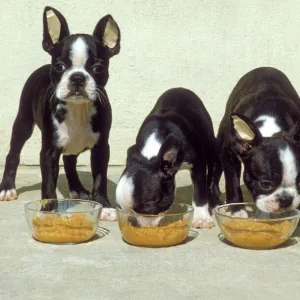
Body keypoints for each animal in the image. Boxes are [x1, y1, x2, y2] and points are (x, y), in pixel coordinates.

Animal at [115, 88, 220, 229]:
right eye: (120, 208)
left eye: (147, 207)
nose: (132, 221)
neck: (152, 153)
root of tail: (180, 89)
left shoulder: (198, 163)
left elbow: (199, 190)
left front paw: (202, 217)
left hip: (210, 143)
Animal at [214, 67, 300, 214]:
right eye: (265, 185)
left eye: (299, 182)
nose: (286, 200)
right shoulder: (229, 154)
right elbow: (232, 181)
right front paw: (236, 210)